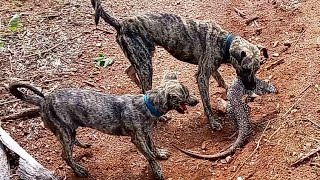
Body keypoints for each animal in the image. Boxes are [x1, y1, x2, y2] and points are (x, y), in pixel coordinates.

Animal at [8, 72, 199, 180]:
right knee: (65, 155)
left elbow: (153, 148)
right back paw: (79, 171)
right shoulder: (137, 139)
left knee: (71, 143)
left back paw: (83, 145)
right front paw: (157, 170)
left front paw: (159, 154)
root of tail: (43, 100)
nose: (197, 101)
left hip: (69, 130)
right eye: (186, 95)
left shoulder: (147, 133)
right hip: (64, 131)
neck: (147, 104)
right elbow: (149, 155)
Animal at [91, 0, 268, 130]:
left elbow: (221, 80)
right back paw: (159, 113)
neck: (224, 42)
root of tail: (121, 24)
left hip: (144, 56)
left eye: (257, 69)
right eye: (245, 69)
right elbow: (207, 103)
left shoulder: (210, 68)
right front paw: (213, 122)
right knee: (144, 85)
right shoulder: (202, 76)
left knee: (129, 72)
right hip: (146, 64)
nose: (252, 87)